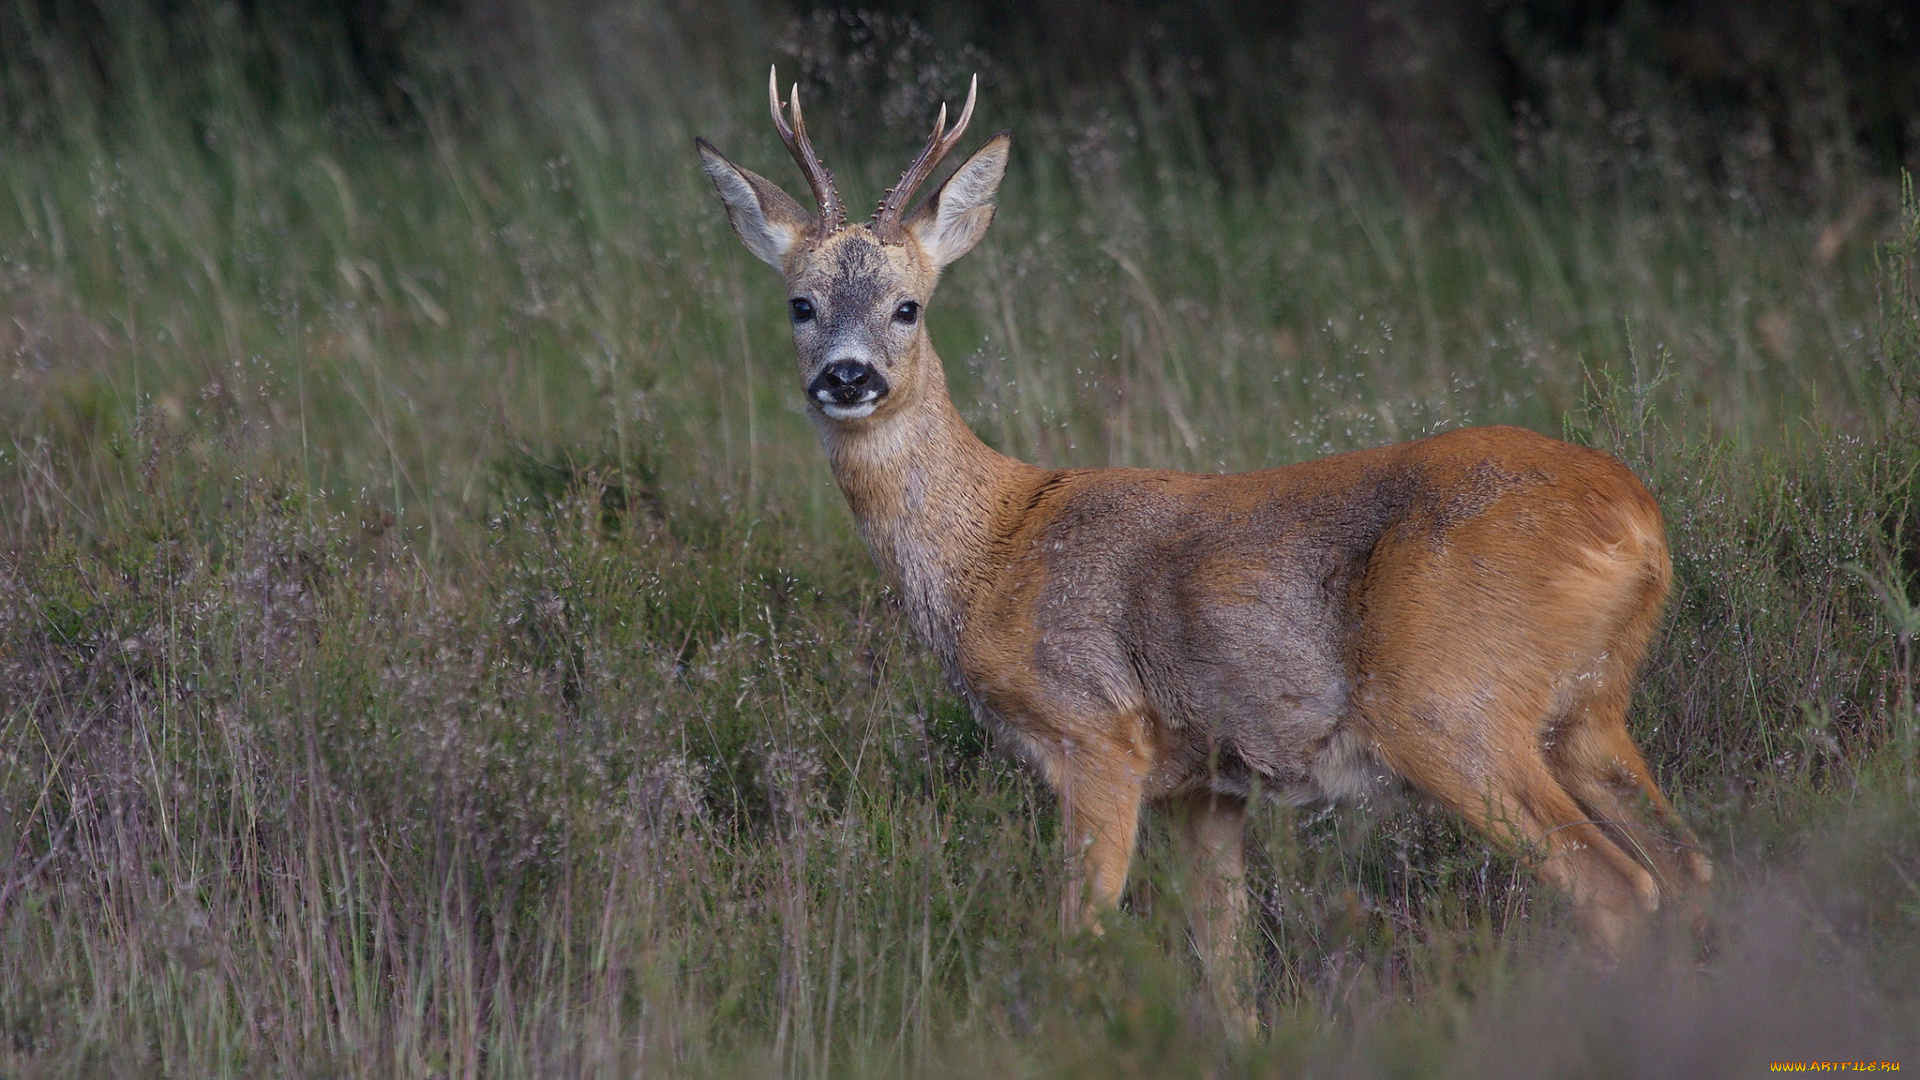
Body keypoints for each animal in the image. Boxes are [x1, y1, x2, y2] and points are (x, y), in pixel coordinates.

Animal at [698, 69, 1720, 999]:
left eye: (908, 306)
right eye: (799, 303)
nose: (847, 376)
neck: (993, 548)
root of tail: (1637, 518)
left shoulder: (1097, 733)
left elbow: (1082, 935)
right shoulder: (1208, 785)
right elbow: (1227, 964)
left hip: (1450, 704)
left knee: (1617, 887)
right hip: (1587, 712)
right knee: (1689, 868)